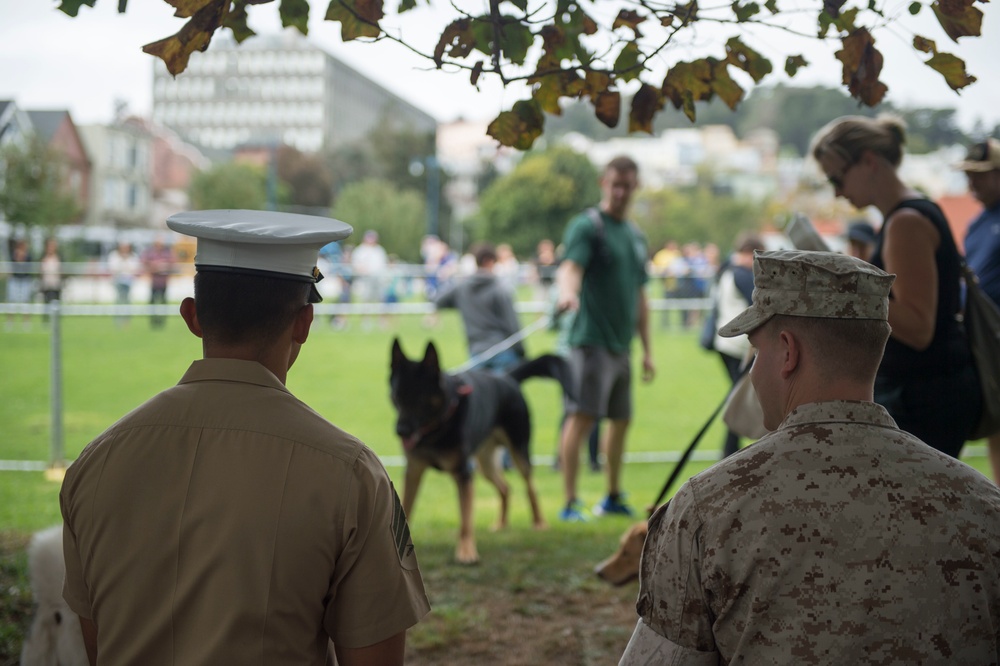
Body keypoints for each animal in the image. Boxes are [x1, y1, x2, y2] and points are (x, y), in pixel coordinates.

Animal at [392, 338, 580, 560]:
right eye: (396, 396)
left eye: (420, 397)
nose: (400, 431)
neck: (437, 426)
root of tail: (506, 377)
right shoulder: (413, 471)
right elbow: (405, 508)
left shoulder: (464, 474)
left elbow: (465, 520)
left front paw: (466, 552)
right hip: (486, 465)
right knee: (506, 488)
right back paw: (501, 524)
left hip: (518, 453)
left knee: (530, 487)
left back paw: (539, 522)